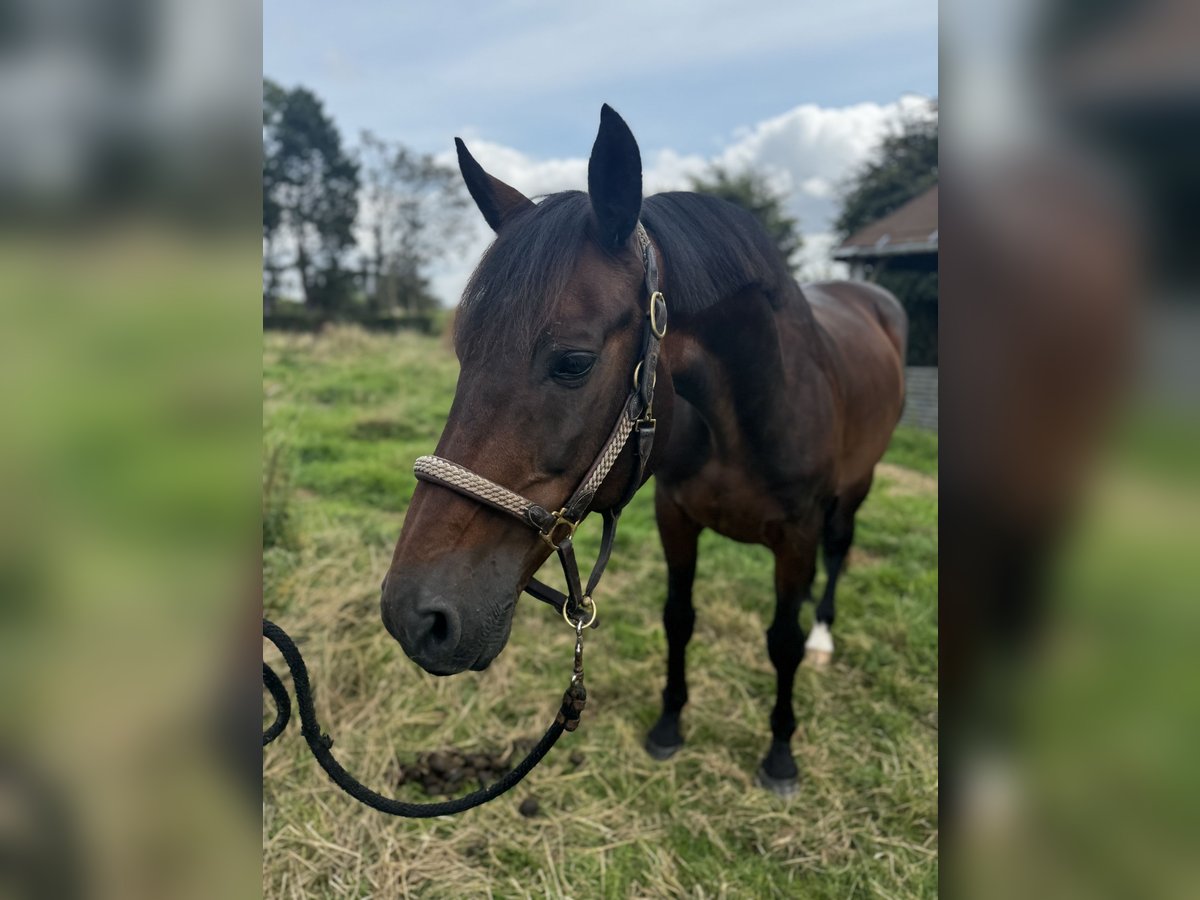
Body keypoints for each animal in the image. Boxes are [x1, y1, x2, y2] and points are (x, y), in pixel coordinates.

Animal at [379, 105, 902, 796]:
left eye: (574, 362)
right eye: (463, 350)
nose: (414, 616)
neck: (751, 413)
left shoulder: (797, 534)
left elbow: (782, 639)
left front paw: (780, 754)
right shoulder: (674, 516)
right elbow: (678, 617)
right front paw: (669, 725)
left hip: (856, 486)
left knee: (839, 551)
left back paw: (823, 639)